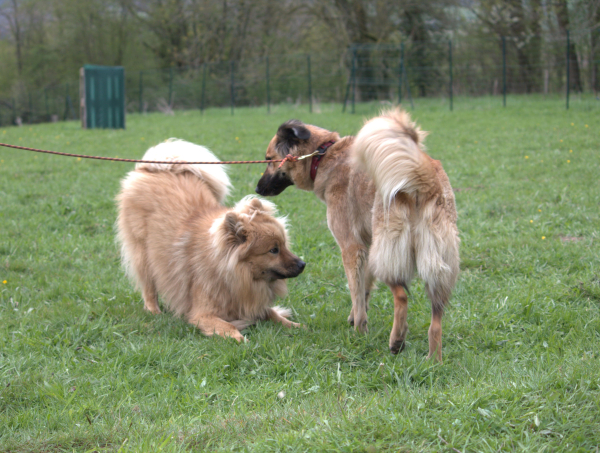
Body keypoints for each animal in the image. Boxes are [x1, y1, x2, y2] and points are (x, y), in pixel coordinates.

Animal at [116, 139, 304, 340]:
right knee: (148, 286)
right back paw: (154, 311)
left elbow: (272, 313)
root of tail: (152, 167)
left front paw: (295, 326)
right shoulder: (202, 314)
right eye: (273, 250)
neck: (234, 273)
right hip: (143, 254)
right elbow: (229, 327)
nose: (303, 264)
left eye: (284, 245)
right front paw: (240, 337)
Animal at [254, 109, 460, 360]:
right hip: (436, 263)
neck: (323, 155)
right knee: (436, 319)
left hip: (386, 255)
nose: (257, 189)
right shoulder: (366, 245)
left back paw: (397, 341)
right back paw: (433, 359)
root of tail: (422, 176)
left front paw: (359, 330)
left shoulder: (351, 247)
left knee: (401, 296)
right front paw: (356, 319)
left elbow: (356, 290)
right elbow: (365, 289)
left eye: (268, 159)